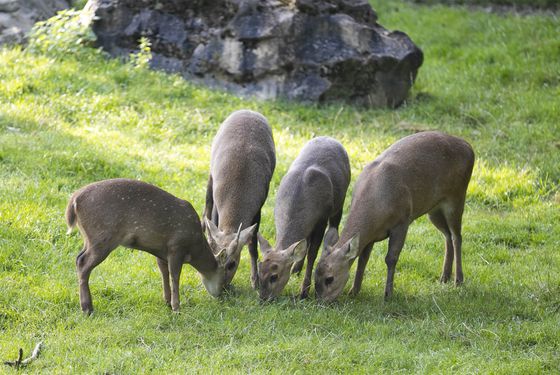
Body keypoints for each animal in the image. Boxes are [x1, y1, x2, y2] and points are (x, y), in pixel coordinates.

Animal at [64, 179, 231, 314]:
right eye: (224, 276)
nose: (222, 295)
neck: (195, 247)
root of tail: (74, 201)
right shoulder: (176, 246)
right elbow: (175, 276)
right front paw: (176, 308)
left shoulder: (162, 251)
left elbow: (164, 273)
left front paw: (167, 302)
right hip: (102, 237)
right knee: (83, 262)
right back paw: (87, 308)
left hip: (89, 238)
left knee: (78, 257)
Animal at [205, 110, 276, 290]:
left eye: (232, 264)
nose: (219, 289)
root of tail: (248, 111)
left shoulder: (258, 211)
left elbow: (252, 247)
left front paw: (255, 281)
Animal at [258, 137, 350, 302]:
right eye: (259, 269)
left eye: (274, 276)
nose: (263, 298)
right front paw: (296, 271)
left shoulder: (321, 219)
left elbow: (313, 253)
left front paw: (304, 292)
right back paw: (296, 269)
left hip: (339, 204)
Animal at [312, 131, 474, 302]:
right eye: (315, 274)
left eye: (330, 278)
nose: (321, 301)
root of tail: (470, 148)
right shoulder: (370, 236)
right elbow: (363, 259)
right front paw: (354, 291)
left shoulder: (402, 221)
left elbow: (391, 258)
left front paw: (388, 294)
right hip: (434, 210)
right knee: (447, 235)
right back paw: (444, 277)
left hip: (457, 196)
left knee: (457, 236)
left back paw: (458, 280)